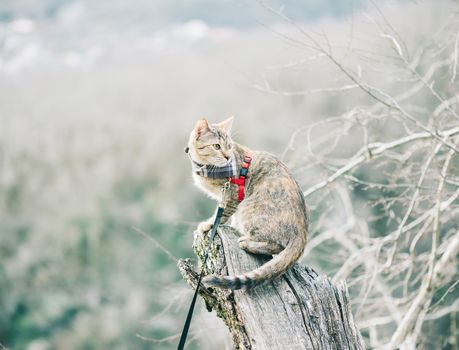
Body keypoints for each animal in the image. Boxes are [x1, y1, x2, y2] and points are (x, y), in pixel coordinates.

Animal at [186, 116, 310, 288]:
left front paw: (209, 224)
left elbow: (221, 214)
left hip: (248, 208)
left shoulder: (231, 194)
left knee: (277, 246)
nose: (227, 156)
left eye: (229, 146)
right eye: (216, 146)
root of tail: (302, 233)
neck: (205, 167)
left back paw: (247, 243)